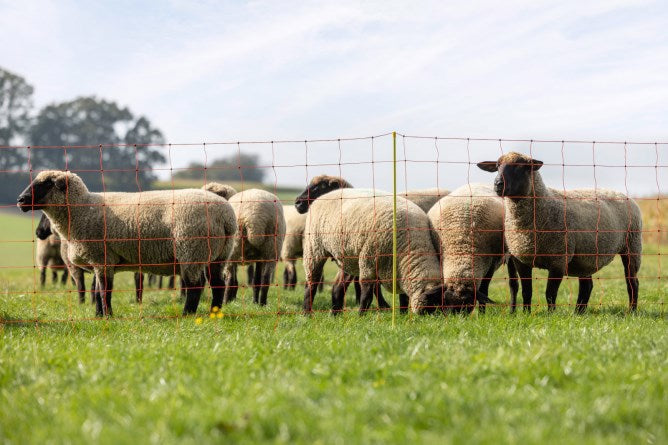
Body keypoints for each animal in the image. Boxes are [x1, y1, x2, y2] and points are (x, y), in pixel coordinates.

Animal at [18, 171, 237, 316]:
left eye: (46, 183)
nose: (20, 200)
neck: (81, 210)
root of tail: (225, 216)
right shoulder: (101, 260)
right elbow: (98, 290)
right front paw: (99, 315)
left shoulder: (102, 257)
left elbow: (104, 290)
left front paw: (107, 316)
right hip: (218, 254)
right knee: (218, 284)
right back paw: (214, 313)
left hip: (192, 249)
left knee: (195, 286)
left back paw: (187, 314)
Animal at [296, 184, 456, 315]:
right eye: (433, 303)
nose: (435, 319)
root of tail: (323, 197)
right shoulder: (369, 262)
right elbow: (367, 295)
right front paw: (361, 316)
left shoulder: (399, 270)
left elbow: (403, 298)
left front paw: (403, 316)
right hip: (314, 248)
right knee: (311, 283)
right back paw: (306, 313)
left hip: (347, 256)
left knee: (338, 286)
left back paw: (335, 314)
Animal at [427, 183, 518, 312]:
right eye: (446, 300)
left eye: (468, 303)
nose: (455, 317)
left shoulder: (490, 262)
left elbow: (484, 290)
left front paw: (482, 313)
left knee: (513, 284)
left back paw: (512, 311)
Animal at [478, 152, 643, 313]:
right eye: (497, 166)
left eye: (520, 166)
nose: (498, 184)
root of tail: (623, 194)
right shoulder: (521, 259)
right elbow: (527, 291)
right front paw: (526, 314)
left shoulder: (558, 260)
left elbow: (550, 293)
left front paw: (551, 315)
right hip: (586, 255)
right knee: (587, 286)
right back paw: (578, 313)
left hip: (631, 245)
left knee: (632, 281)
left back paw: (632, 311)